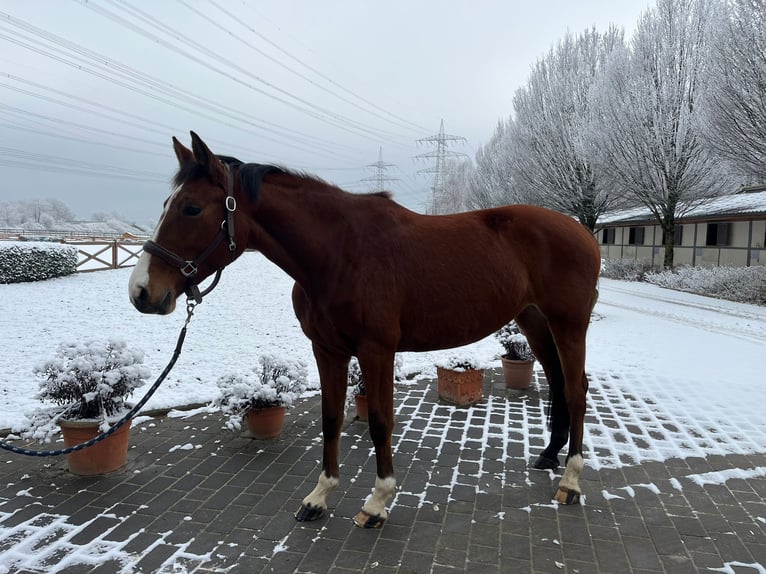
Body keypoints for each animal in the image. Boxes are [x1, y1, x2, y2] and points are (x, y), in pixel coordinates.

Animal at [129, 133, 604, 528]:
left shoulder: (377, 350)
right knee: (558, 382)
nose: (141, 292)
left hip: (569, 324)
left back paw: (571, 481)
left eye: (191, 208)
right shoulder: (327, 350)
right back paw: (549, 457)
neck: (340, 253)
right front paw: (319, 497)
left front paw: (377, 503)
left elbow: (379, 421)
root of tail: (582, 231)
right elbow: (331, 417)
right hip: (533, 320)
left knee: (576, 389)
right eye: (166, 205)